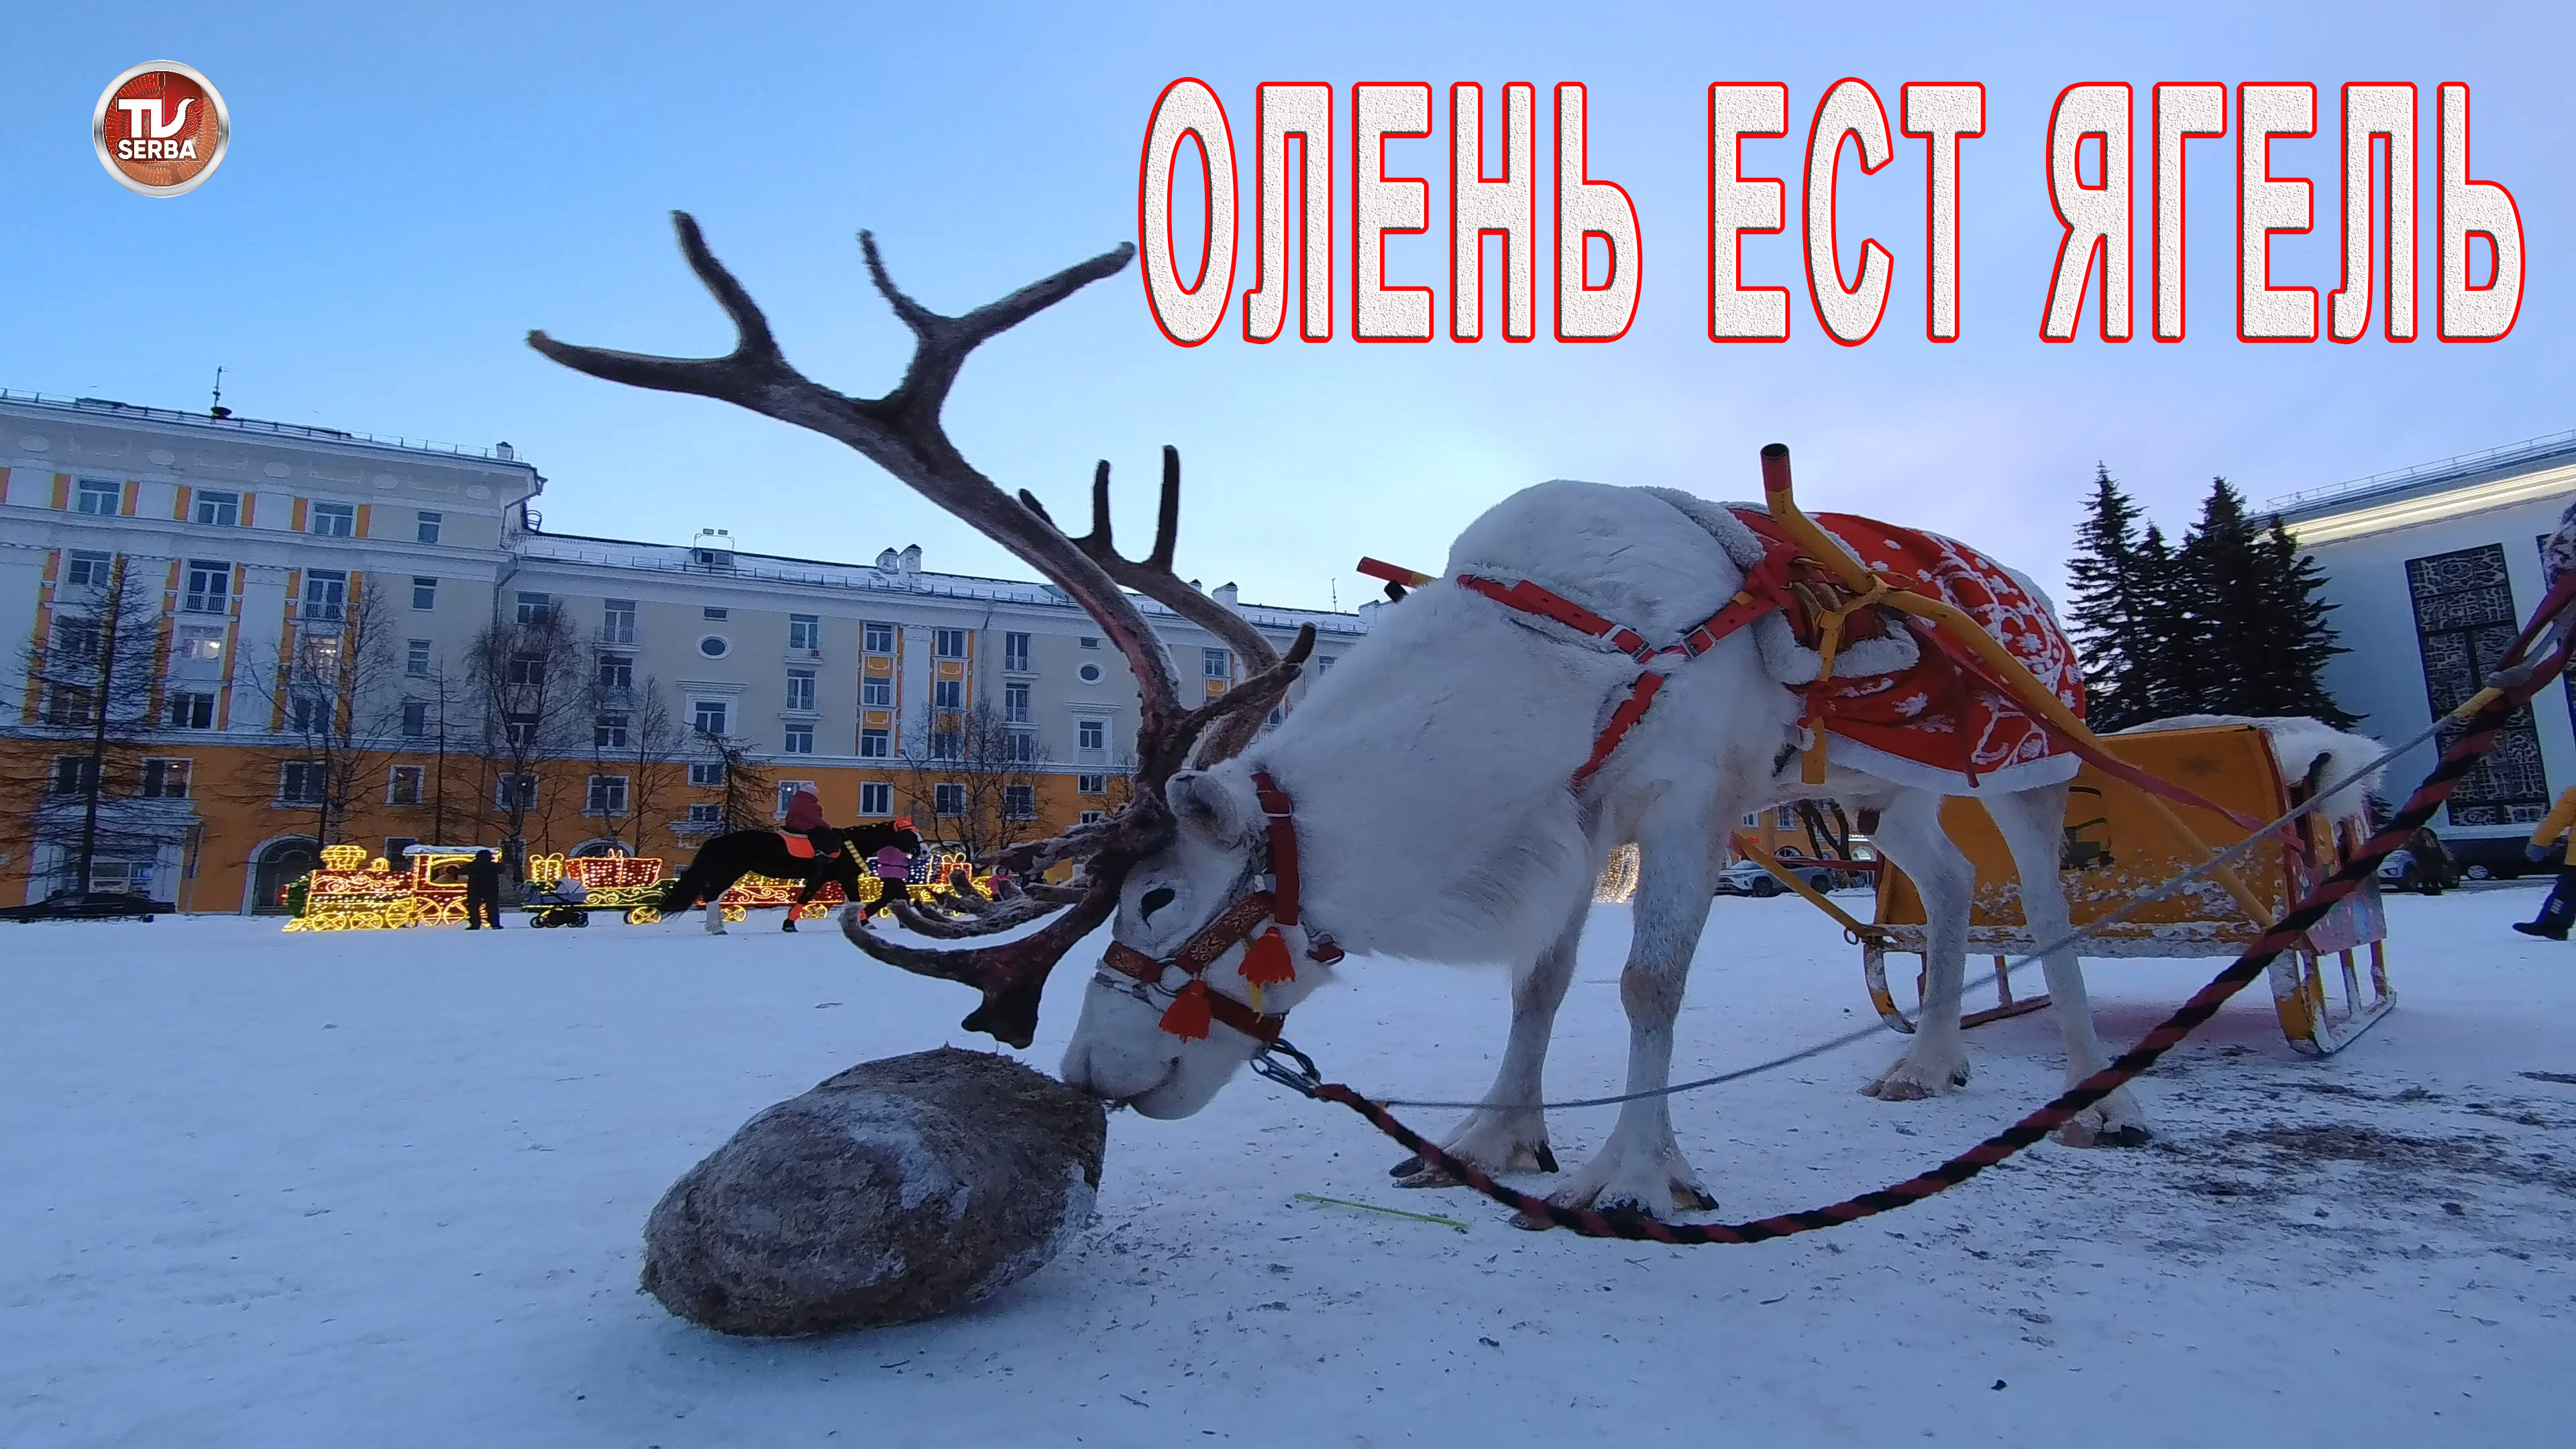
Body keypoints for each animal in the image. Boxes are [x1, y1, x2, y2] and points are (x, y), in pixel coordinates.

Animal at [533, 219, 2154, 1222]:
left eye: (1163, 897)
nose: (1090, 1081)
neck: (1540, 669)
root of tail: (2032, 597)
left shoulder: (1687, 795)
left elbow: (1646, 987)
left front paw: (1635, 1172)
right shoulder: (1577, 819)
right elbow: (1539, 984)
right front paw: (1490, 1141)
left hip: (2025, 757)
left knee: (2047, 903)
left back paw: (2090, 1092)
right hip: (1893, 788)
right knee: (1946, 890)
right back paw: (1930, 1060)